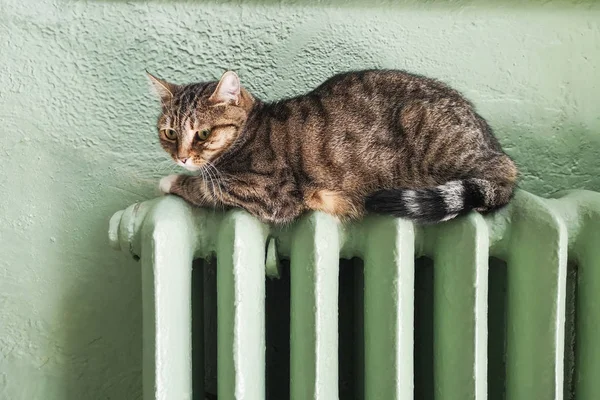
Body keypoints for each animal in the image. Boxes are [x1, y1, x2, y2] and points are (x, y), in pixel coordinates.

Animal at [149, 69, 516, 225]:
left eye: (202, 134)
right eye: (169, 133)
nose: (181, 158)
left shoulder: (268, 194)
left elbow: (206, 189)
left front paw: (170, 181)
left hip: (427, 126)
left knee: (497, 181)